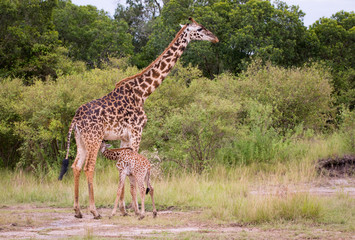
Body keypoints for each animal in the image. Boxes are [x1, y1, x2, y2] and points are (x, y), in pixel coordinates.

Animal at [58, 17, 220, 218]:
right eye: (199, 29)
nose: (215, 38)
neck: (143, 92)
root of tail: (75, 120)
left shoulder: (124, 136)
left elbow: (124, 171)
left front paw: (123, 209)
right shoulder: (137, 131)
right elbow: (134, 172)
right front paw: (135, 210)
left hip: (80, 140)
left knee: (76, 166)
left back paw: (78, 211)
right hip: (94, 138)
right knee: (89, 168)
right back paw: (94, 211)